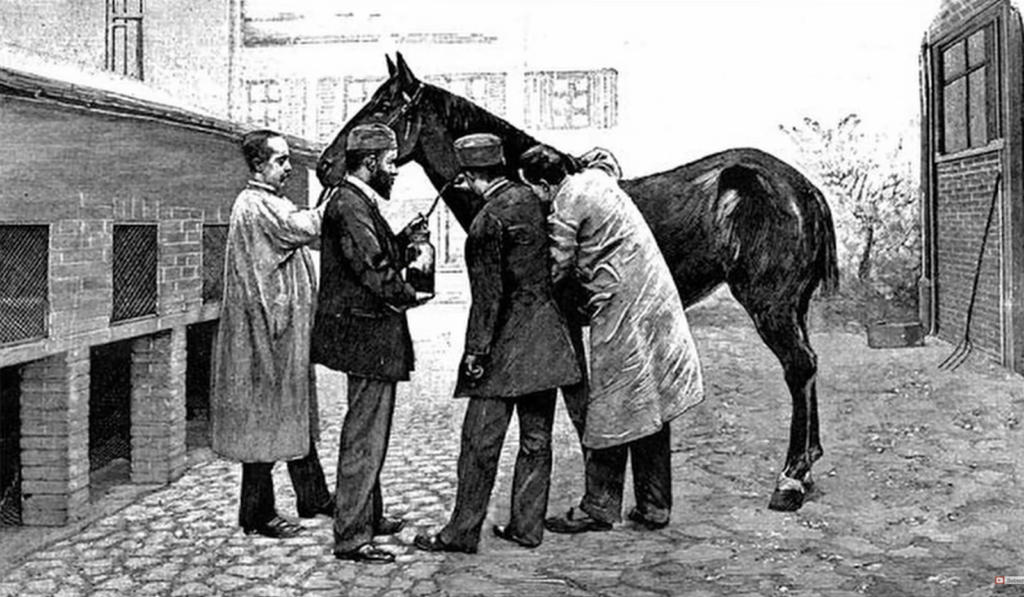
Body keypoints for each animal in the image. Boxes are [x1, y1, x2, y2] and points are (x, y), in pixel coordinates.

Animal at [319, 52, 839, 514]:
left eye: (382, 105)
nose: (327, 164)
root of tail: (801, 187)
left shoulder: (565, 323)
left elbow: (578, 403)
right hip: (792, 308)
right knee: (808, 368)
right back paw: (807, 467)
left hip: (771, 307)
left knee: (799, 368)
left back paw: (790, 479)